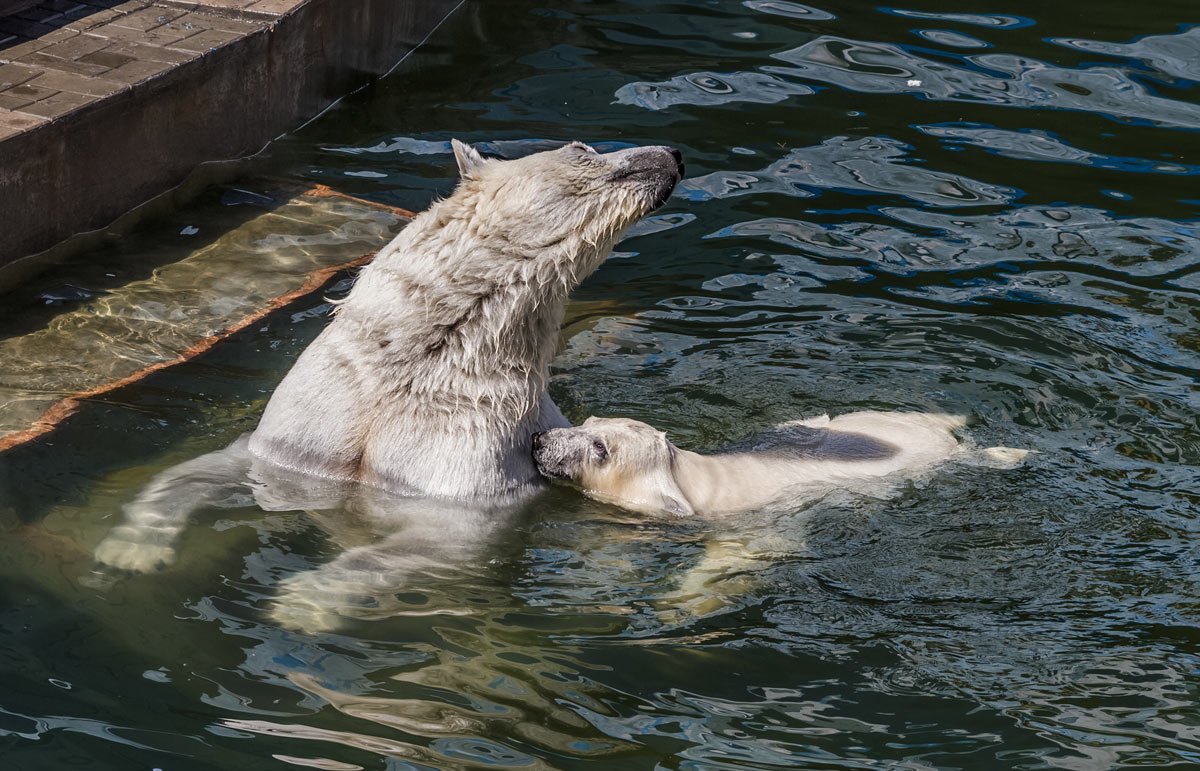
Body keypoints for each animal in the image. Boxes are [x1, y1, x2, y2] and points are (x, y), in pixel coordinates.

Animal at [96, 139, 686, 571]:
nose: (671, 156)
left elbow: (422, 543)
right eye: (582, 147)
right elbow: (205, 468)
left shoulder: (474, 469)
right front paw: (128, 549)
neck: (421, 357)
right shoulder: (304, 434)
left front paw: (305, 602)